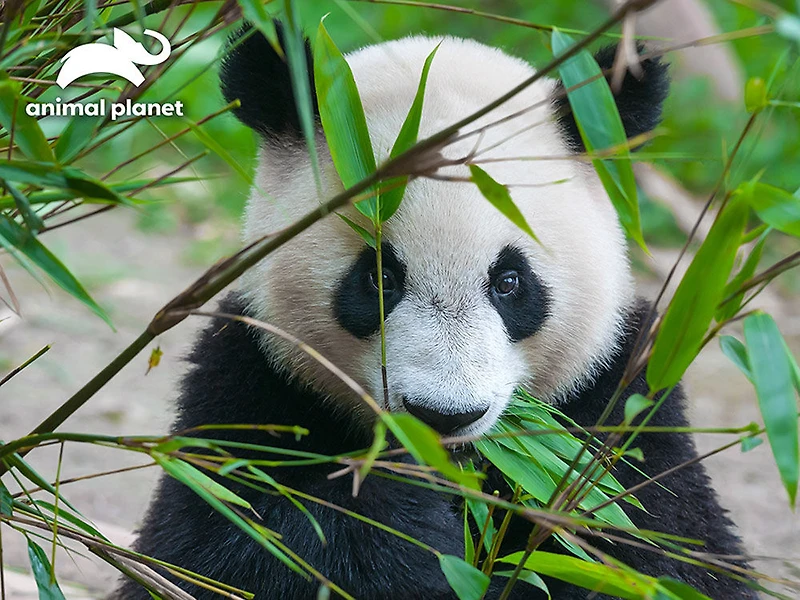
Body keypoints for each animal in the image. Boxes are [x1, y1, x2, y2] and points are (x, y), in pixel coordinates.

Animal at [116, 24, 757, 600]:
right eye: (379, 278)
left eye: (509, 282)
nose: (443, 415)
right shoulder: (252, 383)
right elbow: (229, 542)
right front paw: (406, 528)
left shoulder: (616, 401)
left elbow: (659, 550)